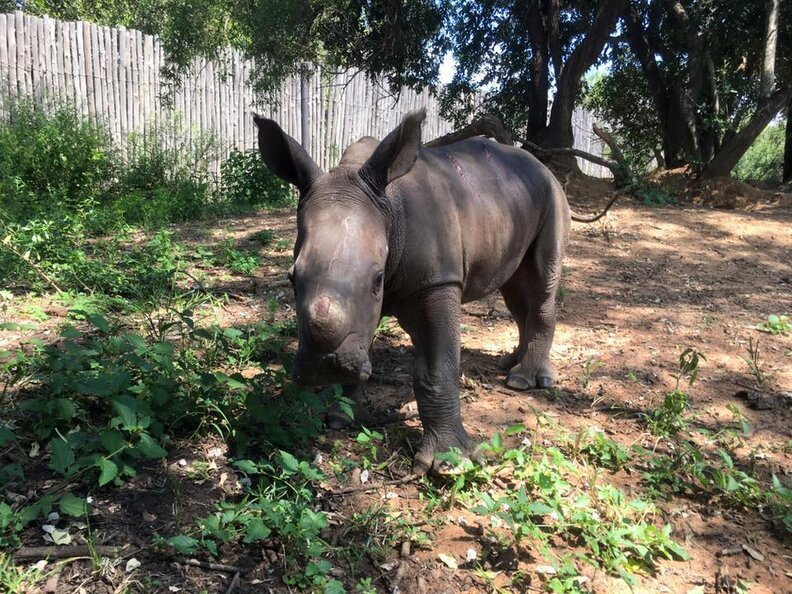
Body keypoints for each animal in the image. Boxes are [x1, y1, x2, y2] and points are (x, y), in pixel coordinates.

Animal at [254, 109, 602, 474]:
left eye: (378, 279)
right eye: (292, 278)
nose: (327, 366)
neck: (388, 206)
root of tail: (541, 165)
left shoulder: (436, 280)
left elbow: (436, 367)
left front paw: (452, 462)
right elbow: (361, 330)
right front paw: (338, 416)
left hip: (552, 196)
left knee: (541, 279)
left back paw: (525, 382)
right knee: (516, 290)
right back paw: (510, 364)